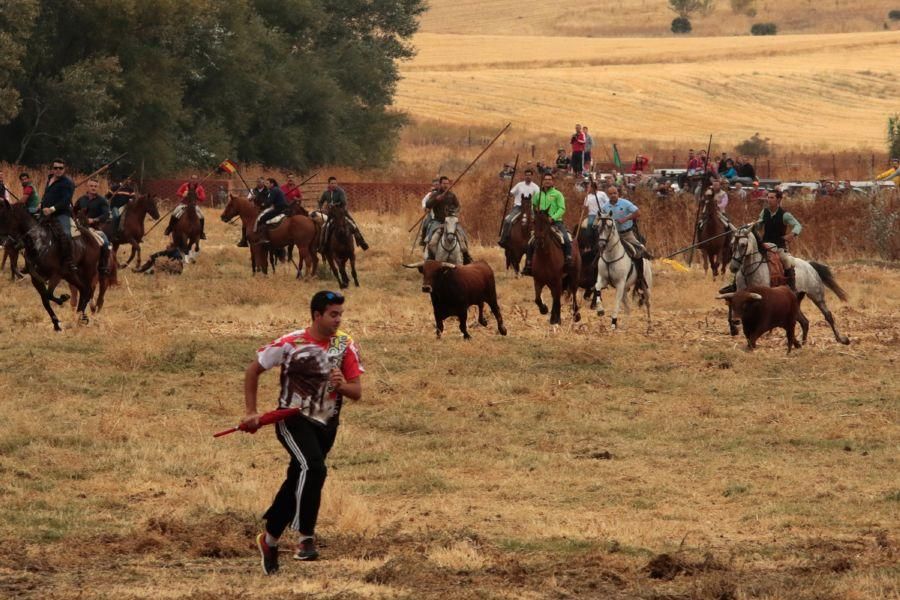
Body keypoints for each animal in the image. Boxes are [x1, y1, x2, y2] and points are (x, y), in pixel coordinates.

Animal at [0, 202, 102, 332]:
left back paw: (80, 318)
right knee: (83, 290)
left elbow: (48, 294)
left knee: (88, 291)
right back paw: (80, 317)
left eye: (5, 217)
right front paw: (56, 324)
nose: (4, 242)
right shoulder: (36, 279)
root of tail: (94, 238)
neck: (39, 243)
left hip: (87, 270)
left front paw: (63, 298)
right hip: (72, 275)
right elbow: (45, 300)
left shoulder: (56, 275)